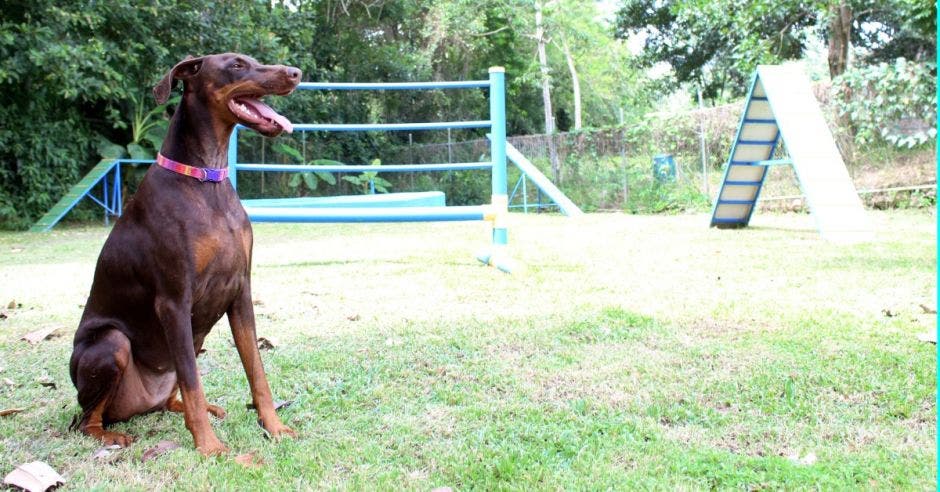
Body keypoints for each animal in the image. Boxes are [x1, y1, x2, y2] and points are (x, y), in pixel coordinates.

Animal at [70, 52, 302, 454]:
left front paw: (274, 427)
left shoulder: (240, 292)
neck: (205, 178)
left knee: (170, 398)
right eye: (236, 65)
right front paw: (210, 448)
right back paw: (111, 434)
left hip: (193, 342)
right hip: (112, 344)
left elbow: (257, 371)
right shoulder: (174, 301)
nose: (295, 73)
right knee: (85, 420)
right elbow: (194, 380)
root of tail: (140, 405)